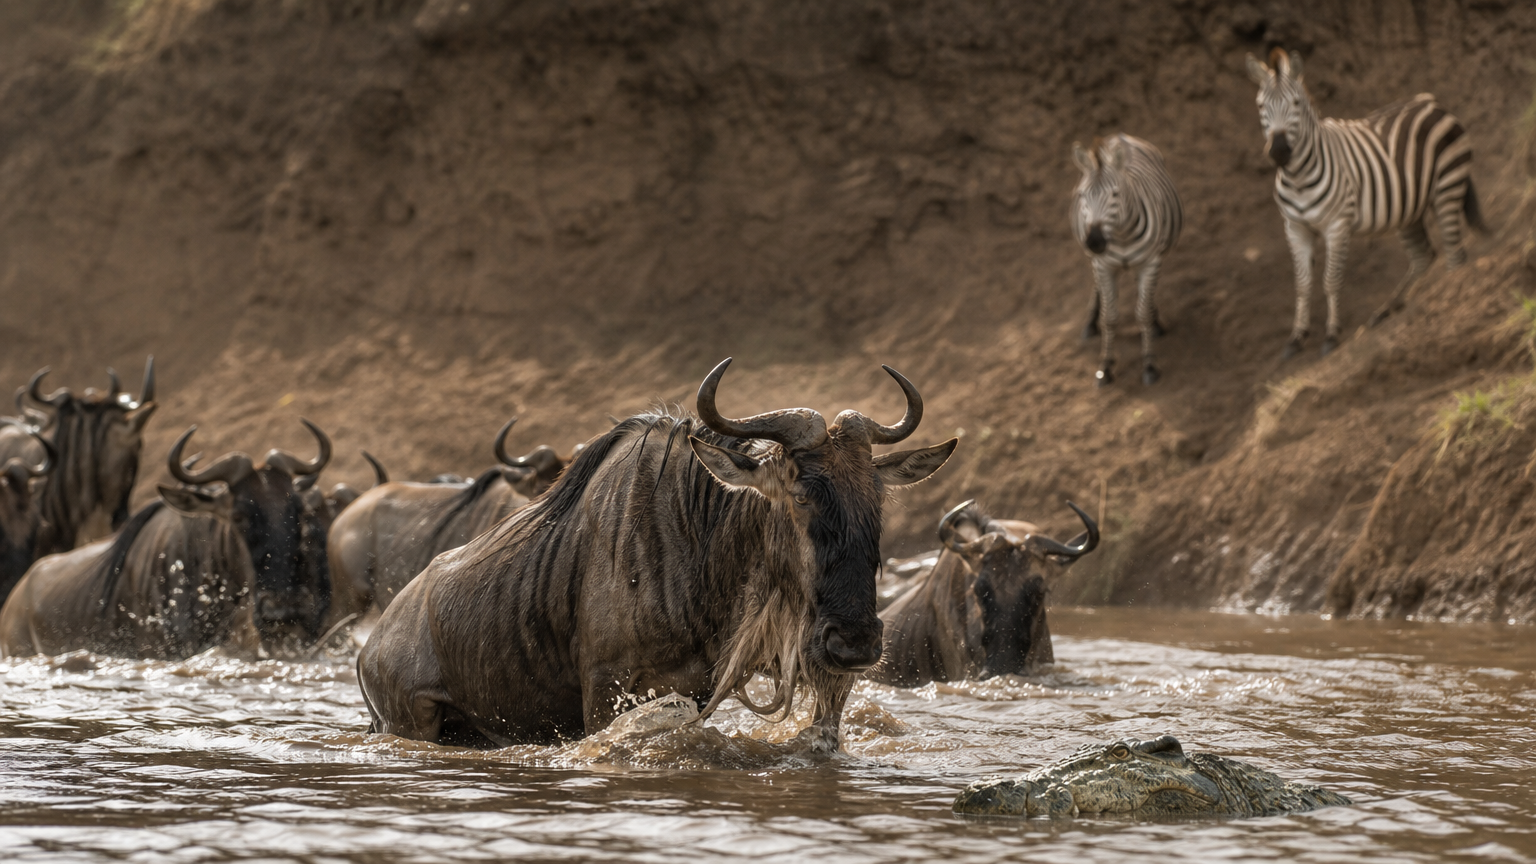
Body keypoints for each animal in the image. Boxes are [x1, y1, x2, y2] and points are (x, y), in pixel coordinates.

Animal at [1071, 133, 1183, 386]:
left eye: (1115, 194)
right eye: (1082, 195)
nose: (1094, 242)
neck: (1122, 236)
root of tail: (1117, 136)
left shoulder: (1150, 263)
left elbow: (1142, 313)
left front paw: (1150, 366)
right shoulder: (1103, 265)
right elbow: (1109, 317)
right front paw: (1105, 367)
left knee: (1144, 297)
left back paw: (1155, 321)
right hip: (1098, 261)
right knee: (1098, 286)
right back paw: (1090, 323)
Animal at [1246, 48, 1485, 358]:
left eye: (1296, 104)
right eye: (1261, 105)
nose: (1278, 152)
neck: (1298, 178)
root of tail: (1431, 101)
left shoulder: (1337, 224)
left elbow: (1331, 280)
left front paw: (1331, 336)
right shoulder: (1295, 228)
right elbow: (1303, 284)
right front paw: (1296, 338)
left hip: (1448, 185)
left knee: (1455, 254)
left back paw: (1449, 294)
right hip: (1407, 210)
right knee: (1424, 256)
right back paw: (1386, 310)